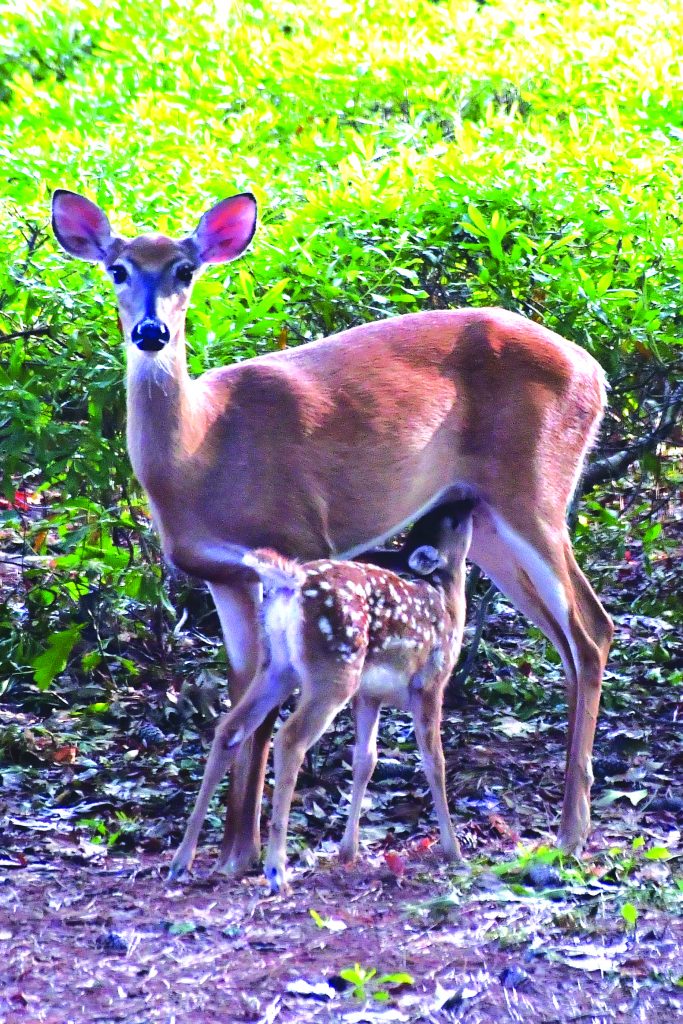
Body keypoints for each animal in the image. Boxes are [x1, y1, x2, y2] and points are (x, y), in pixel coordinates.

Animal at [170, 500, 474, 892]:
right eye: (451, 520)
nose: (467, 502)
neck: (446, 600)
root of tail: (291, 583)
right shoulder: (430, 683)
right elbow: (435, 761)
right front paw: (454, 852)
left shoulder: (369, 694)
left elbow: (366, 760)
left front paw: (348, 851)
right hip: (333, 669)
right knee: (289, 739)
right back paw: (276, 870)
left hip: (277, 666)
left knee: (229, 730)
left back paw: (182, 861)